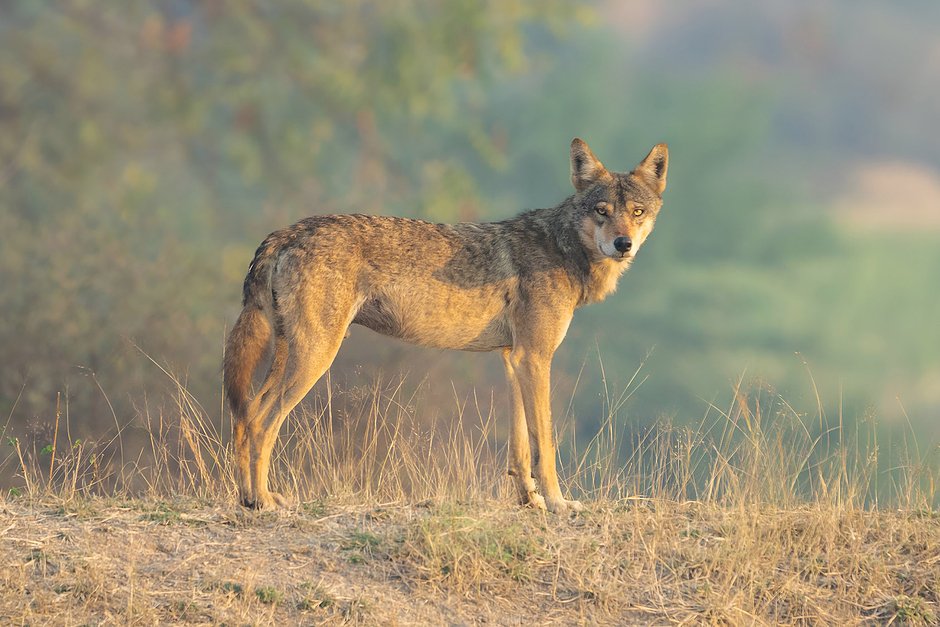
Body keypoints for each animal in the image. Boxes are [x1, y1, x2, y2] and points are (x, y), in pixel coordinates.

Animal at [223, 140, 668, 512]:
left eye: (637, 212)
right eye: (601, 211)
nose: (623, 244)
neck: (562, 247)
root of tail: (284, 233)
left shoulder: (514, 359)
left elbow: (521, 447)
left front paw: (531, 501)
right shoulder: (536, 357)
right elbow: (545, 444)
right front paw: (559, 504)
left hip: (291, 356)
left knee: (245, 416)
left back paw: (248, 498)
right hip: (315, 357)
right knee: (261, 421)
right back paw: (263, 501)